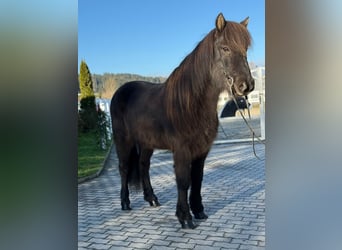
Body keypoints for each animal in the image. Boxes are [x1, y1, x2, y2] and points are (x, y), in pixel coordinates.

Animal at [109, 13, 254, 229]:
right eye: (225, 48)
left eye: (245, 49)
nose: (247, 85)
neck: (190, 105)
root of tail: (120, 92)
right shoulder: (182, 150)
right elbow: (183, 181)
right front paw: (185, 217)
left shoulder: (201, 150)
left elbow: (198, 179)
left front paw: (199, 211)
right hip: (123, 140)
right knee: (124, 168)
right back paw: (125, 203)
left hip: (146, 143)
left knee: (143, 166)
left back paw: (152, 199)